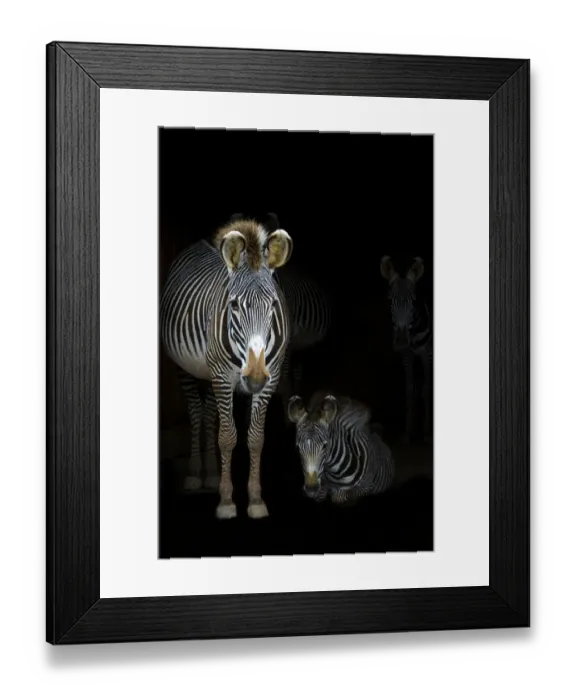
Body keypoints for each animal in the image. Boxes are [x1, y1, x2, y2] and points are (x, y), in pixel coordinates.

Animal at [160, 215, 293, 519]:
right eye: (233, 305)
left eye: (273, 305)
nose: (254, 379)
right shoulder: (222, 376)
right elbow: (228, 437)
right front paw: (226, 501)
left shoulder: (270, 378)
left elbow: (255, 438)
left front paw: (255, 499)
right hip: (187, 369)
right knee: (196, 413)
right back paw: (195, 474)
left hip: (210, 374)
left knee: (209, 413)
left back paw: (210, 474)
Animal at [380, 255, 433, 443]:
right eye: (390, 300)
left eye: (413, 301)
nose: (402, 341)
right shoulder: (407, 356)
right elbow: (410, 389)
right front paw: (408, 432)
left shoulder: (427, 355)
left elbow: (426, 388)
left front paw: (426, 432)